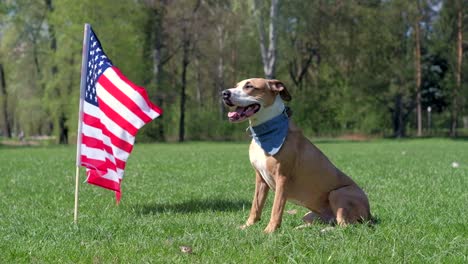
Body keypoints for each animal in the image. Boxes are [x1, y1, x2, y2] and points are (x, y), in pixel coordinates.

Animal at [221, 78, 372, 233]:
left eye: (249, 86)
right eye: (236, 85)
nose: (224, 93)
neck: (265, 133)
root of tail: (369, 214)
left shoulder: (282, 178)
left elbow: (276, 208)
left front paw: (269, 231)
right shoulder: (260, 178)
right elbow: (255, 206)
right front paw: (247, 226)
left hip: (337, 194)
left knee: (346, 226)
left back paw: (323, 231)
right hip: (310, 215)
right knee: (327, 222)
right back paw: (301, 228)